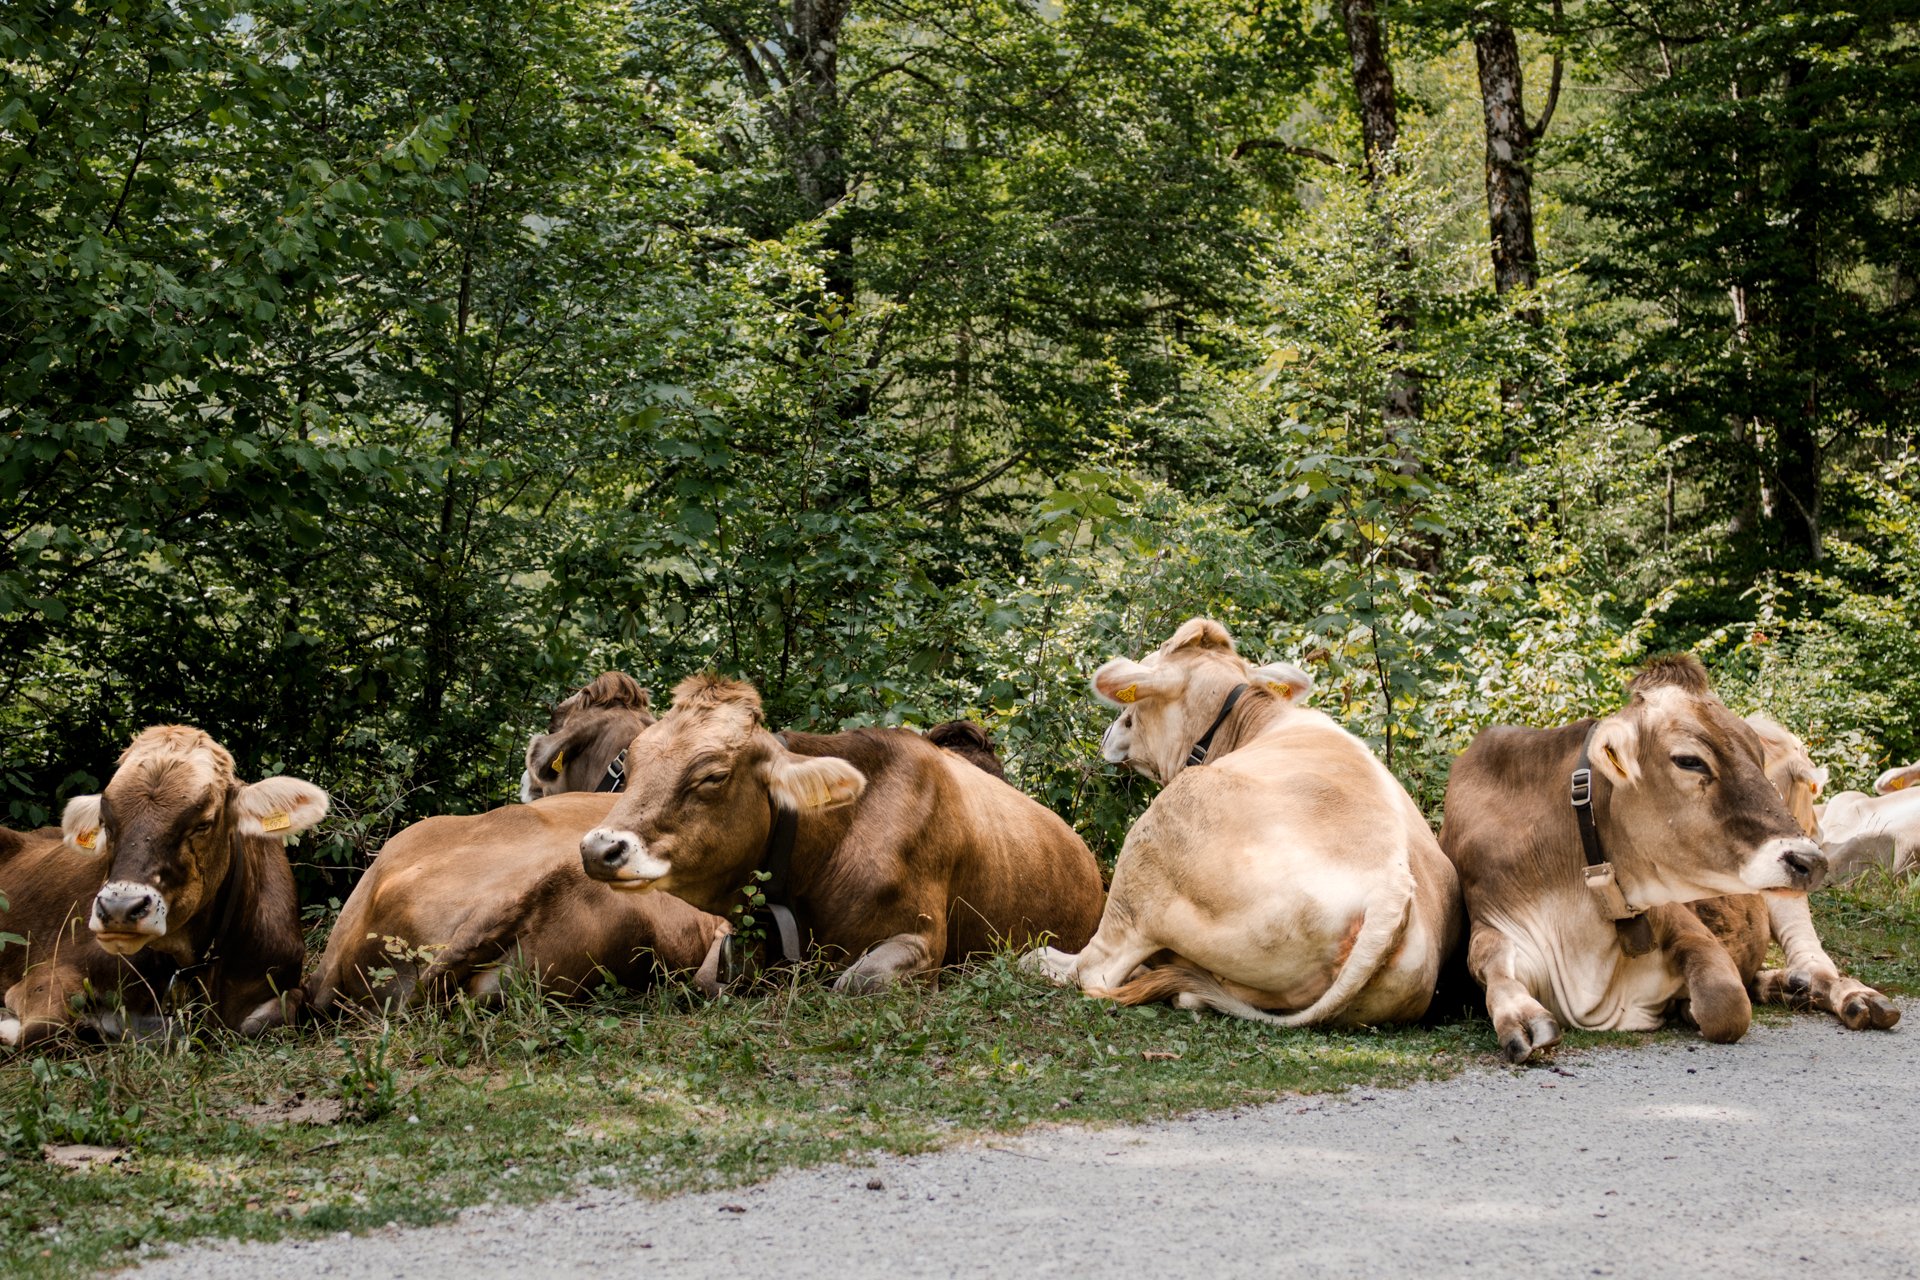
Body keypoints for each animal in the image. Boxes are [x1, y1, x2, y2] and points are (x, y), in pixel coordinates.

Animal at [0, 726, 322, 1046]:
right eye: (105, 823)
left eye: (203, 823)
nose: (118, 909)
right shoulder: (51, 969)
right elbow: (42, 1028)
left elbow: (278, 1016)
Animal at [1025, 618, 1464, 1027]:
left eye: (1135, 703)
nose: (1109, 733)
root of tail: (1392, 891)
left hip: (1150, 852)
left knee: (1094, 969)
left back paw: (1043, 959)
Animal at [1440, 654, 1898, 1064]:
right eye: (1689, 760)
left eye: (1758, 757)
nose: (1810, 860)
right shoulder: (1497, 925)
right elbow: (1491, 964)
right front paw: (1521, 1016)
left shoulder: (1685, 925)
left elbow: (1725, 1003)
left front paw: (1689, 1008)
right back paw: (1785, 985)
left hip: (1782, 896)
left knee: (1816, 965)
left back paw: (1855, 997)